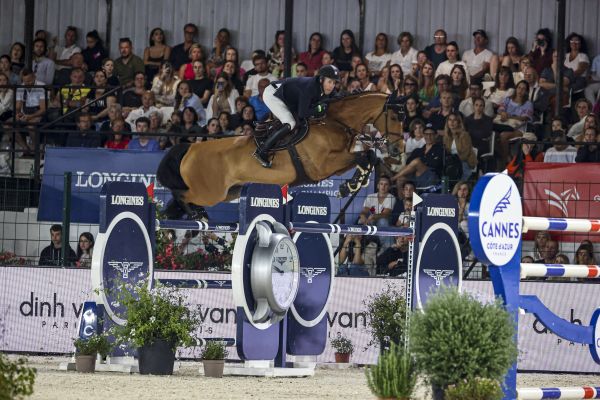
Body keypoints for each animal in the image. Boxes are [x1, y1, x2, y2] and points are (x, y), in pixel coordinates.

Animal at [158, 91, 404, 212]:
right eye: (394, 116)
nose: (398, 149)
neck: (334, 121)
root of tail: (191, 148)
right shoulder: (324, 165)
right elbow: (364, 155)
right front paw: (350, 185)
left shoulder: (339, 161)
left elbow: (367, 156)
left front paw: (352, 185)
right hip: (210, 193)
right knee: (181, 195)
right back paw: (195, 215)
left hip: (231, 192)